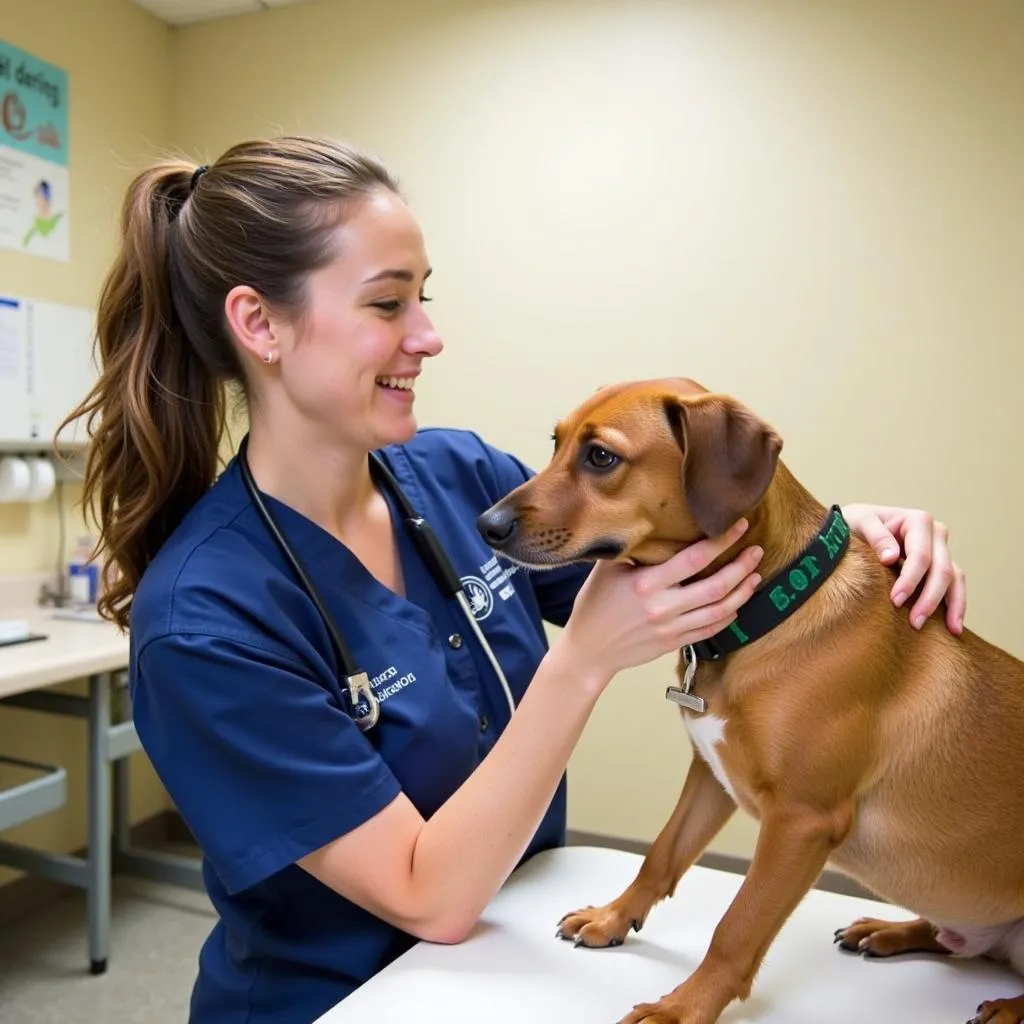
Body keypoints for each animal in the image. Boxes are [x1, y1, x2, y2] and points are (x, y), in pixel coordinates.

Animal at [475, 376, 1019, 1024]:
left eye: (601, 457)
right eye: (556, 444)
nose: (485, 525)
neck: (769, 611)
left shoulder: (802, 822)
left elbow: (736, 927)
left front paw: (681, 1008)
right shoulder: (711, 775)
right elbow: (662, 854)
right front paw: (612, 918)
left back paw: (1006, 1003)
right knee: (955, 941)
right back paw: (887, 930)